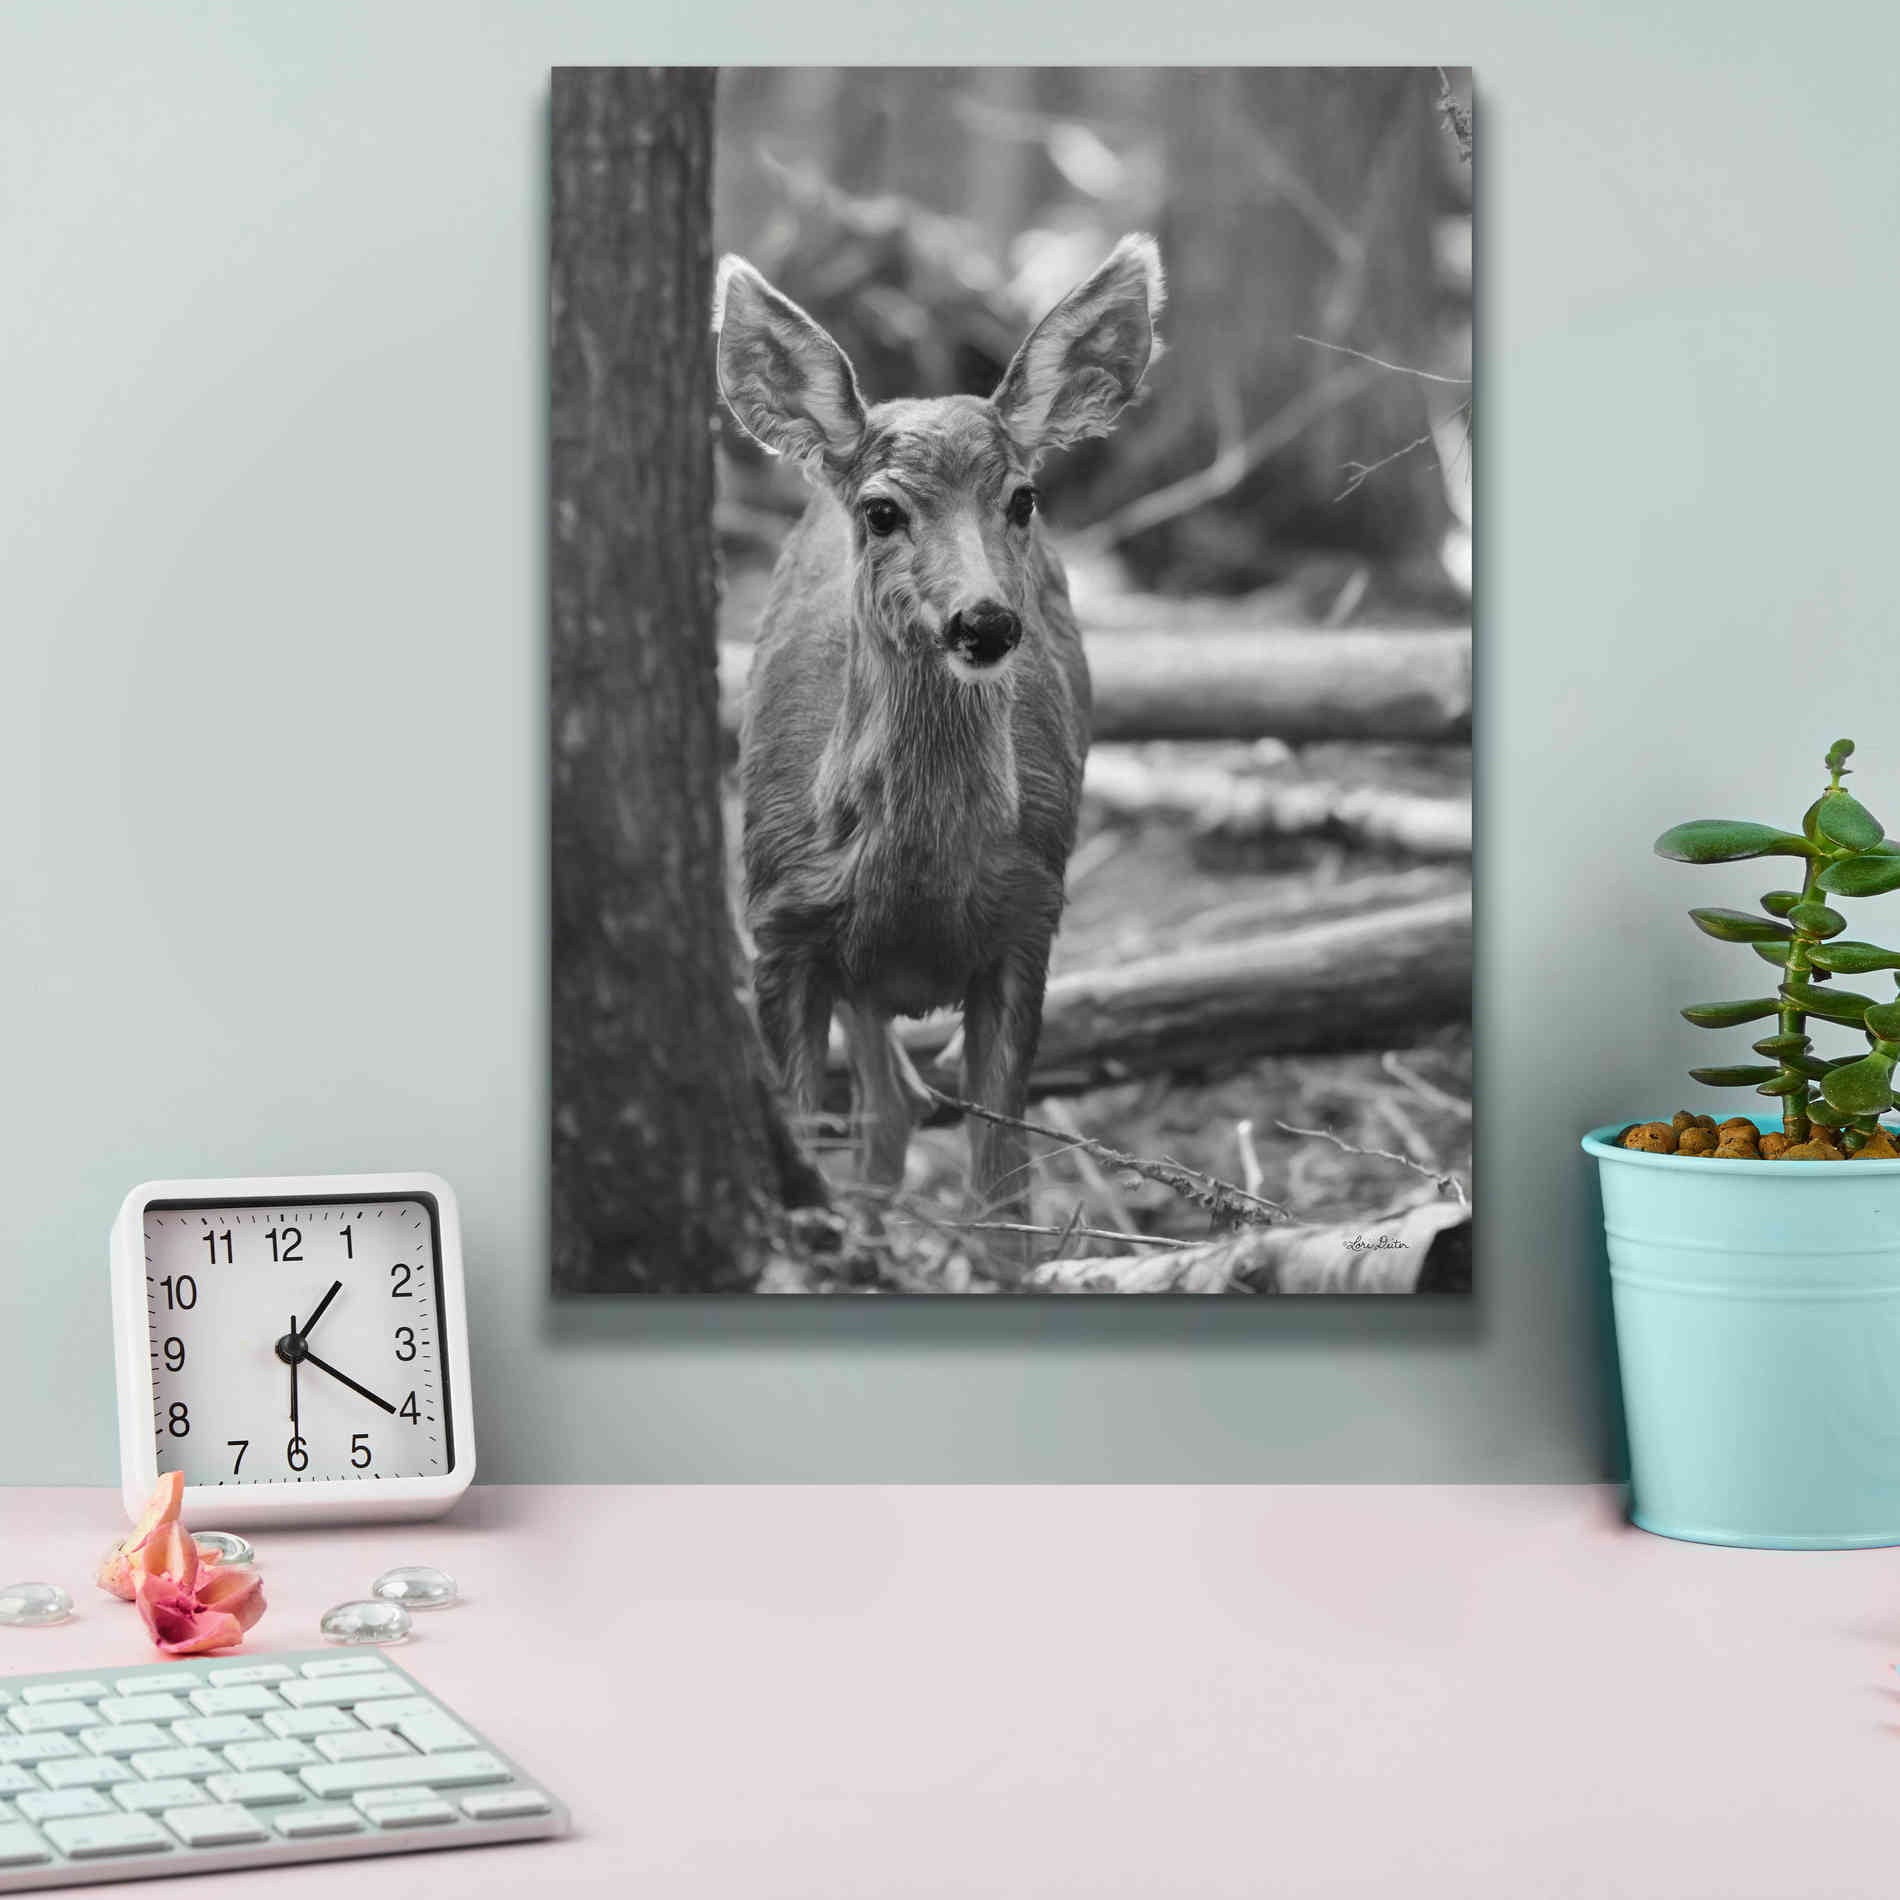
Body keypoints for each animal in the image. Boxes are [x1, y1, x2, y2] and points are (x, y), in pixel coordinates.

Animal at [713, 234, 1164, 1262]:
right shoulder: (779, 925)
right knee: (887, 1109)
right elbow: (807, 1124)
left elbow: (1002, 1199)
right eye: (882, 511)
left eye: (1023, 498)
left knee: (898, 1109)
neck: (911, 887)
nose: (986, 621)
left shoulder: (1030, 919)